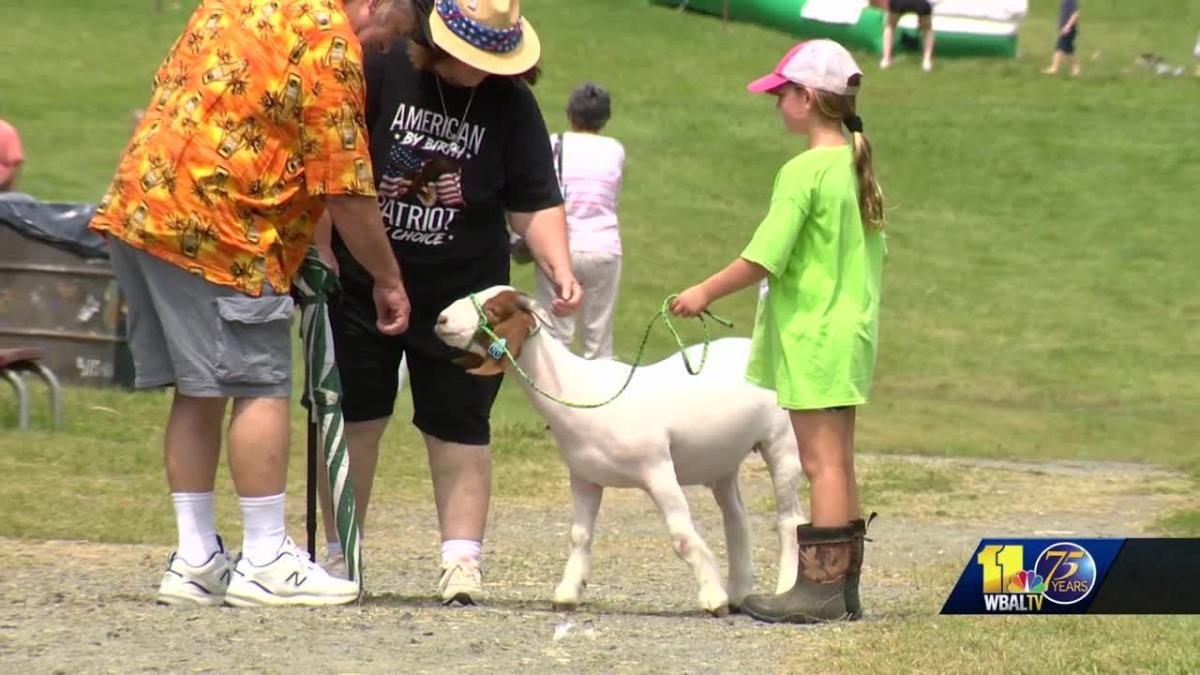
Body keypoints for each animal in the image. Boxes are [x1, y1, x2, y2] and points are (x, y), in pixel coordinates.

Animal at [434, 285, 806, 612]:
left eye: (495, 310)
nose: (441, 319)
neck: (580, 391)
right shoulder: (584, 477)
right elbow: (579, 535)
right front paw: (567, 594)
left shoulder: (658, 470)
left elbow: (683, 537)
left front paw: (713, 598)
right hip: (721, 463)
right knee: (736, 520)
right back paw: (739, 592)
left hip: (782, 443)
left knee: (789, 521)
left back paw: (782, 588)